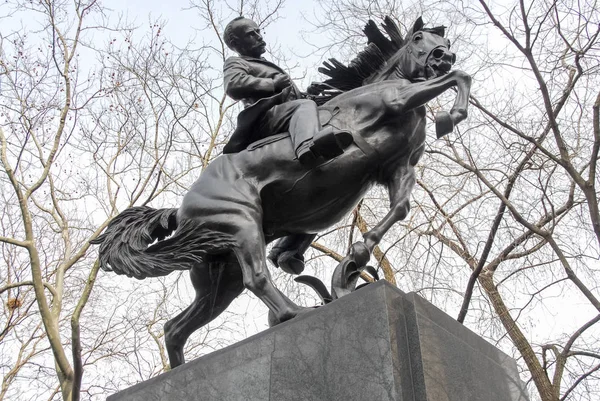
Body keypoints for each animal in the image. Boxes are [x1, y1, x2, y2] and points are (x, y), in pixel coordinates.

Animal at [91, 18, 472, 368]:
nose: (444, 55)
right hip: (242, 225)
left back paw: (181, 372)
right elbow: (459, 77)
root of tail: (181, 209)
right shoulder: (397, 102)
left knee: (176, 327)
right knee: (257, 278)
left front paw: (354, 259)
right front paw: (451, 116)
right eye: (419, 38)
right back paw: (295, 313)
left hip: (220, 276)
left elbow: (401, 208)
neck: (380, 88)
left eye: (447, 41)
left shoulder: (397, 167)